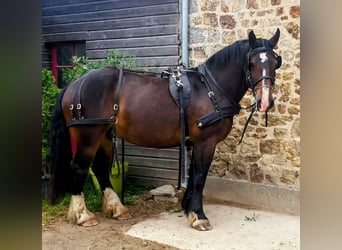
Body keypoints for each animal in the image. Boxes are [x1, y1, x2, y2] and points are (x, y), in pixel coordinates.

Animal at [48, 28, 284, 230]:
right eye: (251, 63)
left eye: (275, 62)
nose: (266, 102)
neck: (210, 88)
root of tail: (74, 84)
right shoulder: (205, 142)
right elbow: (200, 176)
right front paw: (199, 216)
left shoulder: (196, 143)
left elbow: (193, 174)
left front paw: (188, 208)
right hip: (89, 136)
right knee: (79, 168)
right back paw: (83, 215)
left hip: (105, 135)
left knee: (100, 168)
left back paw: (117, 208)